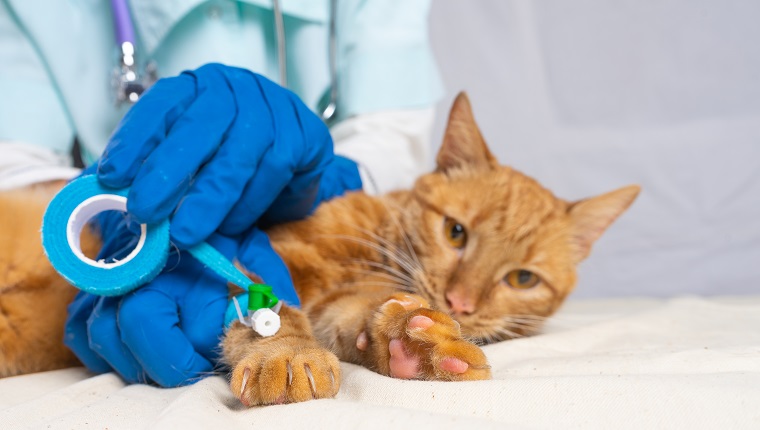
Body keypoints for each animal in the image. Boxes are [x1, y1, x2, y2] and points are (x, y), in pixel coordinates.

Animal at [0, 92, 640, 404]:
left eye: (522, 280)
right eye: (456, 232)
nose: (459, 304)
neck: (375, 247)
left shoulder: (348, 303)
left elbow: (364, 317)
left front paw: (417, 343)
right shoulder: (262, 263)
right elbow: (270, 311)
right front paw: (282, 354)